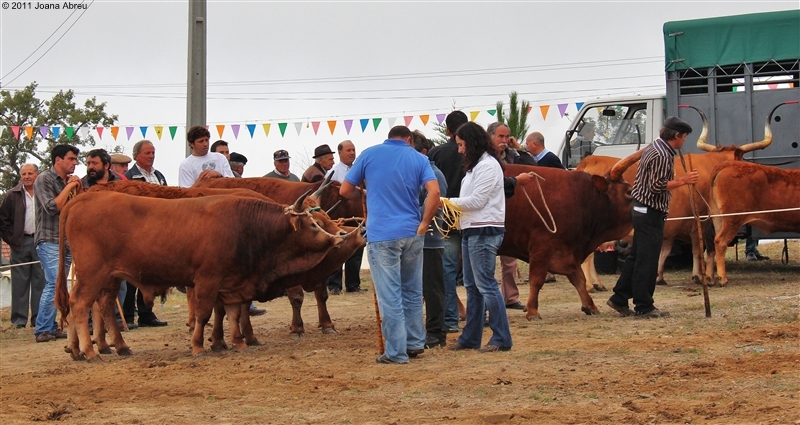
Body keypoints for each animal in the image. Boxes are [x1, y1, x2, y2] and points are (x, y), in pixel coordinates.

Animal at [53, 190, 346, 360]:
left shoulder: (233, 283)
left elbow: (233, 312)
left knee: (99, 307)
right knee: (79, 306)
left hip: (110, 278)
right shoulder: (207, 280)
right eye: (313, 224)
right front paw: (198, 345)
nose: (338, 237)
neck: (244, 224)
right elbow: (204, 314)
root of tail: (82, 199)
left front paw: (236, 342)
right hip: (92, 274)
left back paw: (101, 348)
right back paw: (89, 351)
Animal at [500, 152, 636, 318]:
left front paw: (590, 305)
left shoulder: (569, 251)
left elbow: (579, 279)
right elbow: (537, 280)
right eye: (629, 192)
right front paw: (532, 310)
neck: (583, 196)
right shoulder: (542, 247)